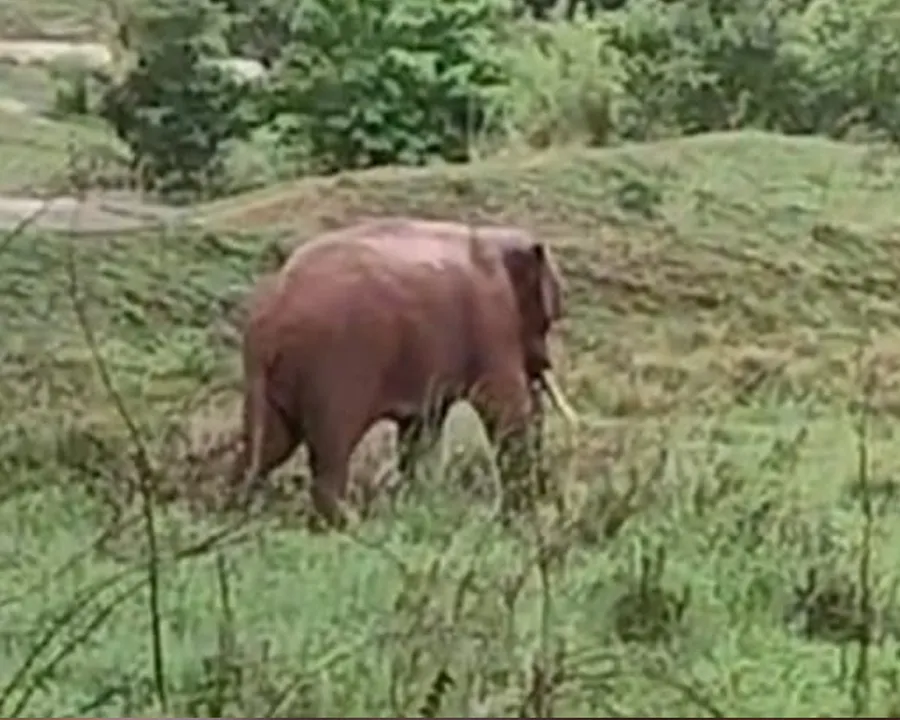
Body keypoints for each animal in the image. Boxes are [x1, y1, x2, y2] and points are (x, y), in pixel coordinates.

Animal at [228, 217, 576, 527]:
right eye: (547, 322)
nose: (551, 506)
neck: (494, 236)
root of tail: (265, 320)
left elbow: (422, 428)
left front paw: (421, 504)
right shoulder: (493, 324)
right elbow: (505, 411)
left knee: (270, 446)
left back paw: (239, 515)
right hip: (334, 368)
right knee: (331, 450)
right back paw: (349, 526)